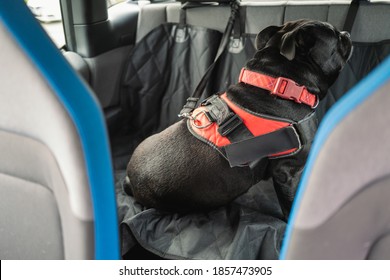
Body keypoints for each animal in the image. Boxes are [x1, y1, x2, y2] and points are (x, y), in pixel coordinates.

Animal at [125, 19, 354, 218]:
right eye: (336, 36)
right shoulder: (289, 173)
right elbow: (290, 204)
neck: (279, 84)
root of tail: (129, 179)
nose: (347, 33)